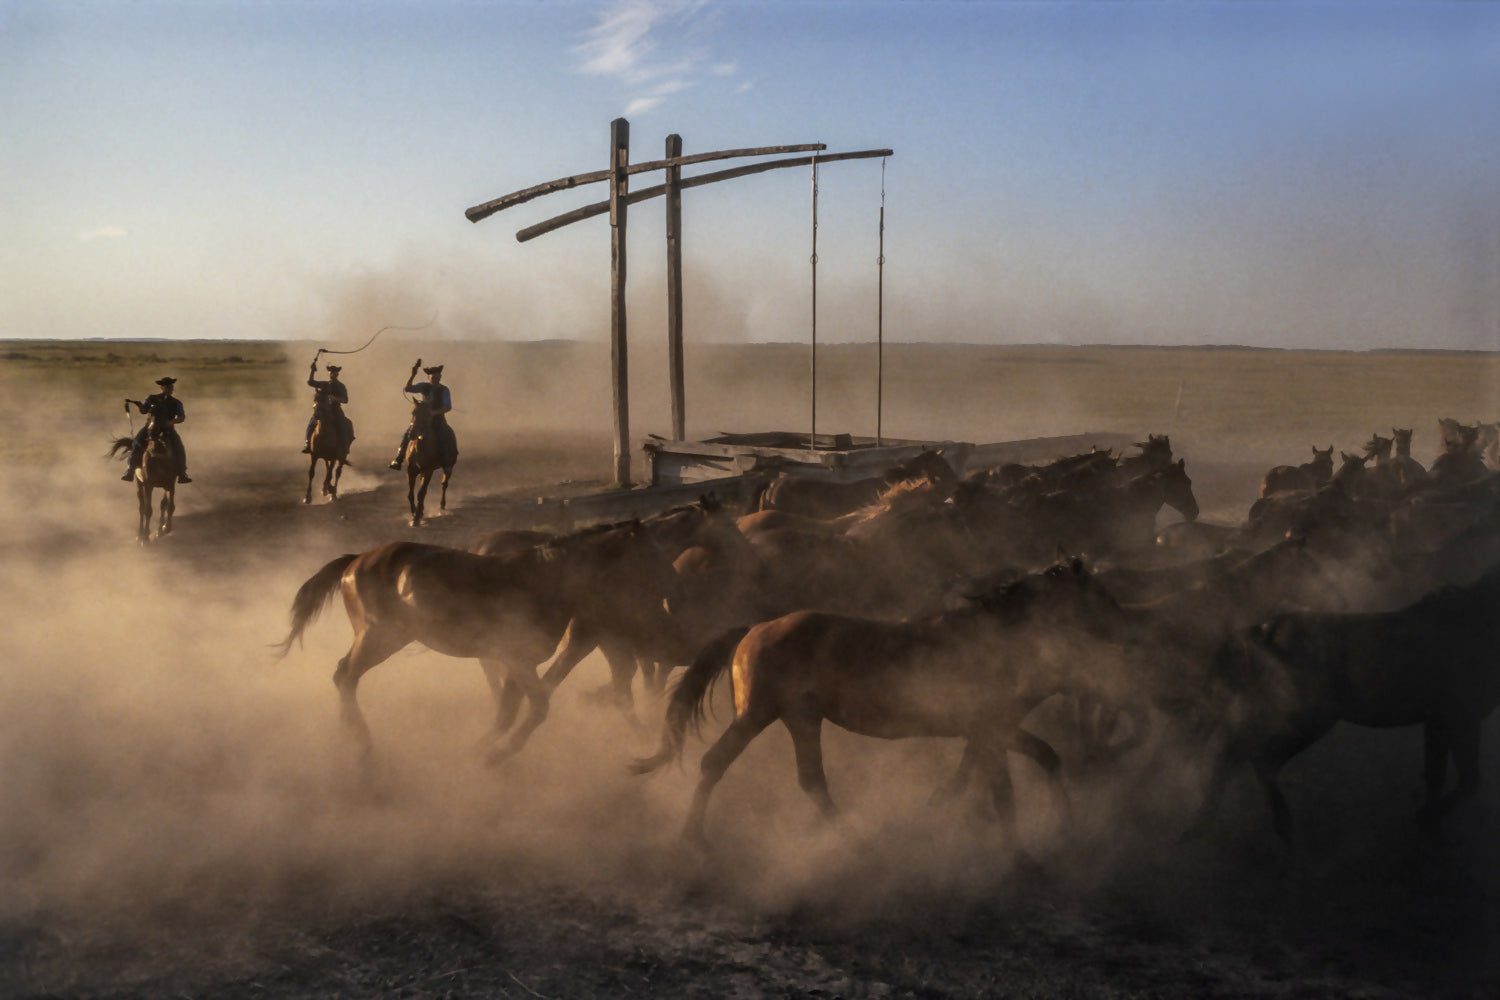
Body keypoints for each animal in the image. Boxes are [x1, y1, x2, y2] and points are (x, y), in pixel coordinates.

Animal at [405, 395, 456, 527]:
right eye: (413, 412)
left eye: (427, 415)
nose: (412, 434)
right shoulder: (411, 470)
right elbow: (411, 494)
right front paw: (414, 513)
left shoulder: (429, 470)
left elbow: (421, 493)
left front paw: (416, 518)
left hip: (449, 467)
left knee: (444, 484)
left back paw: (442, 507)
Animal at [627, 560, 1122, 851]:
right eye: (1098, 595)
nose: (1127, 629)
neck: (995, 636)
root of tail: (755, 629)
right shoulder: (990, 730)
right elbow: (1003, 794)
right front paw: (1023, 860)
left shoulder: (990, 729)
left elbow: (1042, 758)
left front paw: (1066, 827)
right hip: (760, 716)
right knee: (719, 763)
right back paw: (697, 837)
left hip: (800, 719)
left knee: (810, 780)